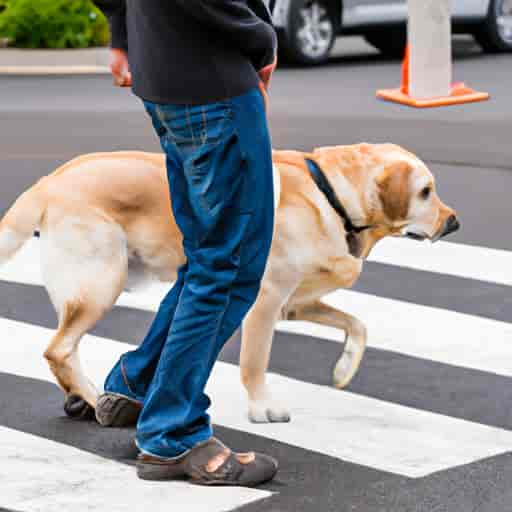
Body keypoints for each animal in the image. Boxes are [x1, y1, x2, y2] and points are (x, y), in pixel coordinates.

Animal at [0, 143, 456, 424]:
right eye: (425, 191)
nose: (454, 222)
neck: (333, 198)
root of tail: (49, 181)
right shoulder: (266, 300)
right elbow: (255, 361)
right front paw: (262, 408)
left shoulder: (296, 304)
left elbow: (358, 326)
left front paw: (344, 369)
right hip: (101, 283)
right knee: (58, 349)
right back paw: (98, 401)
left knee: (66, 349)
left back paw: (87, 397)